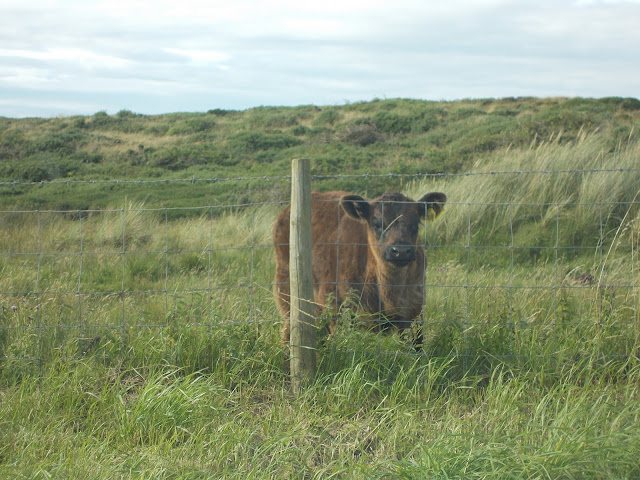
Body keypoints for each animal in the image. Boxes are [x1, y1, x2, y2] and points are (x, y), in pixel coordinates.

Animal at [273, 190, 447, 348]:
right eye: (377, 224)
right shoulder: (337, 311)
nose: (401, 250)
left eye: (415, 224)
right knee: (288, 332)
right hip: (288, 294)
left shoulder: (415, 313)